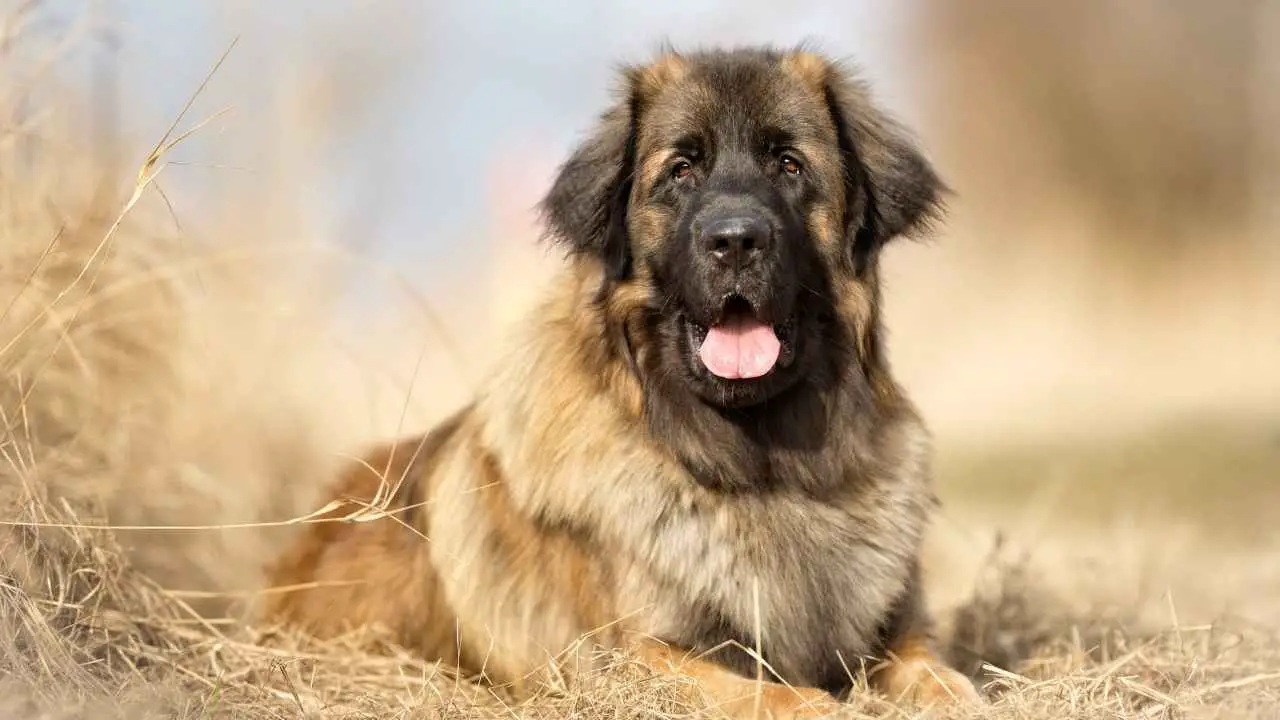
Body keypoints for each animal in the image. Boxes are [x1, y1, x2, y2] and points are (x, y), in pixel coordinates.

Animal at [259, 43, 977, 712]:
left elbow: (938, 674)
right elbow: (762, 692)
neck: (758, 465)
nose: (735, 241)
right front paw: (813, 703)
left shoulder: (895, 630)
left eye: (789, 165)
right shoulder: (634, 655)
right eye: (681, 170)